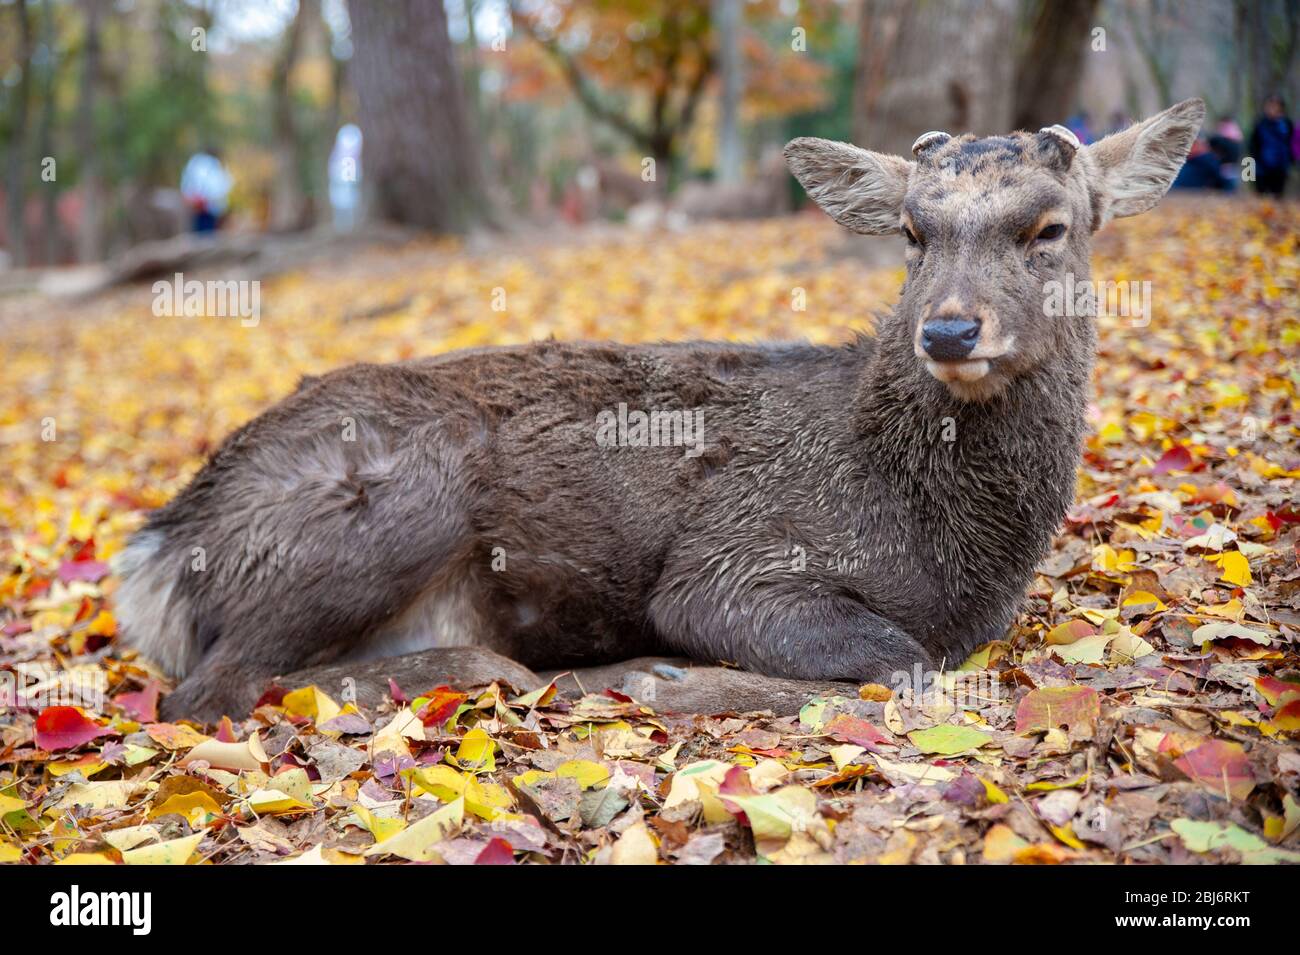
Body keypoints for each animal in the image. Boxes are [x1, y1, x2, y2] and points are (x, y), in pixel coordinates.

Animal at [116, 100, 1201, 722]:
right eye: (911, 231)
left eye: (1049, 228)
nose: (946, 330)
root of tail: (158, 549)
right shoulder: (732, 564)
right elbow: (905, 660)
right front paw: (672, 677)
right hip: (396, 491)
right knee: (206, 691)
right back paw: (527, 671)